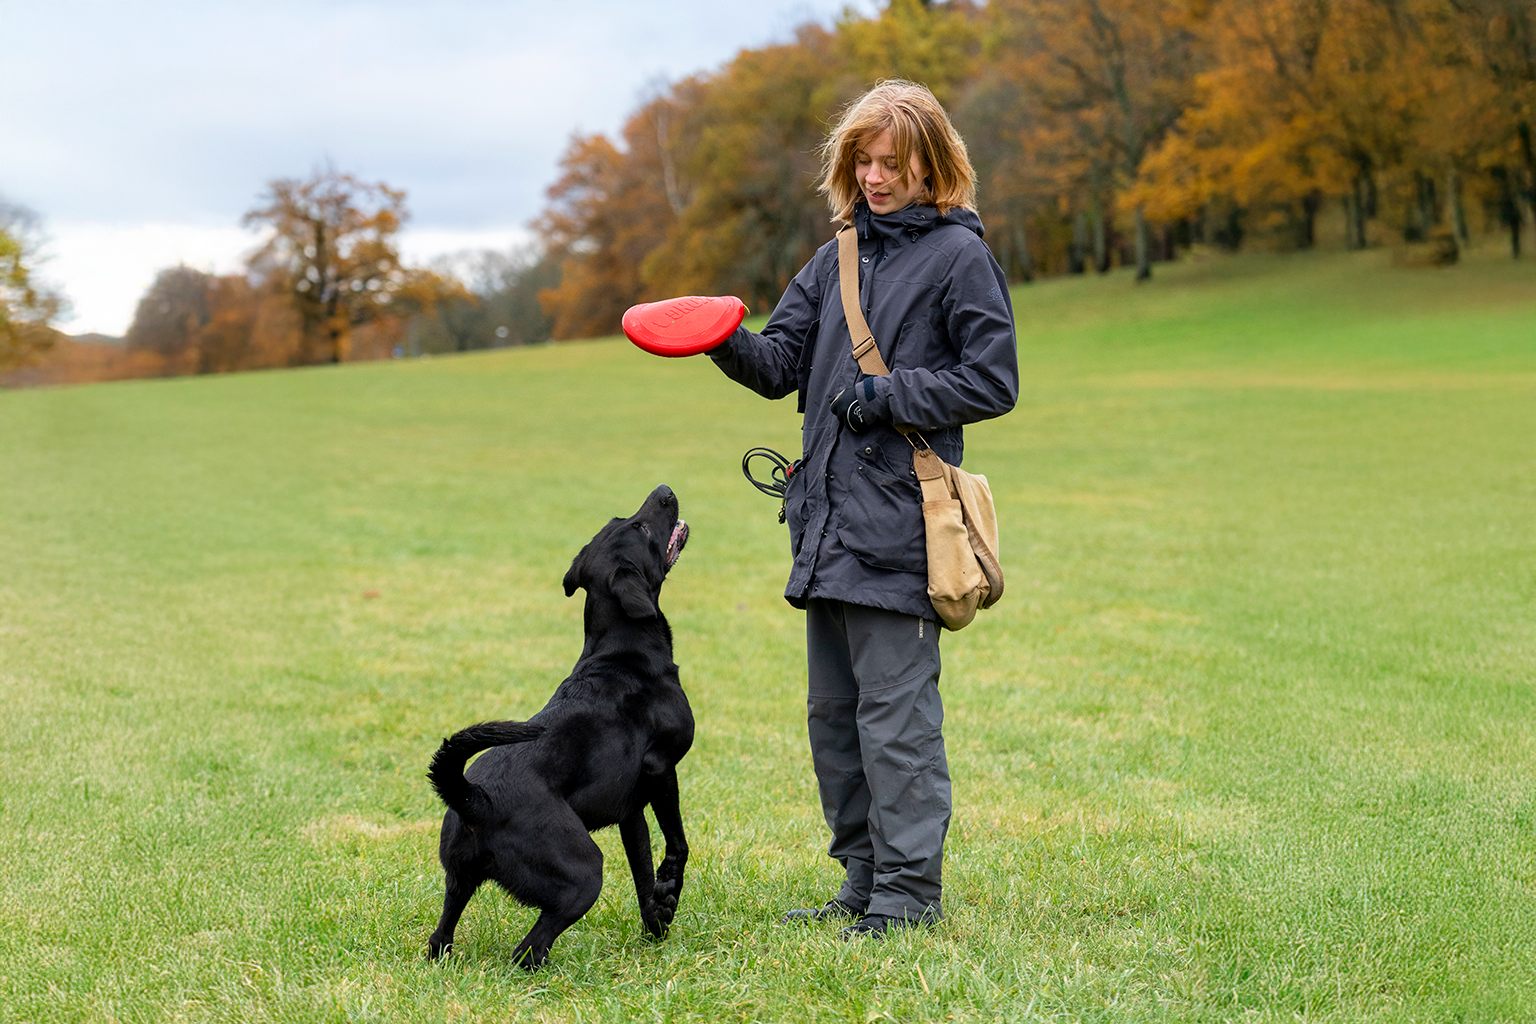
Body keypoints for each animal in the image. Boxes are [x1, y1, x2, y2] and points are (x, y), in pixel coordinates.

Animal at [430, 488, 700, 970]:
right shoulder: (661, 768)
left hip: (458, 881)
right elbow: (677, 842)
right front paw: (670, 887)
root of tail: (473, 797)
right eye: (642, 527)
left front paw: (657, 918)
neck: (620, 649)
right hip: (582, 872)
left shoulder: (631, 810)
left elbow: (642, 870)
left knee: (441, 936)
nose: (665, 491)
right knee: (527, 949)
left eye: (623, 518)